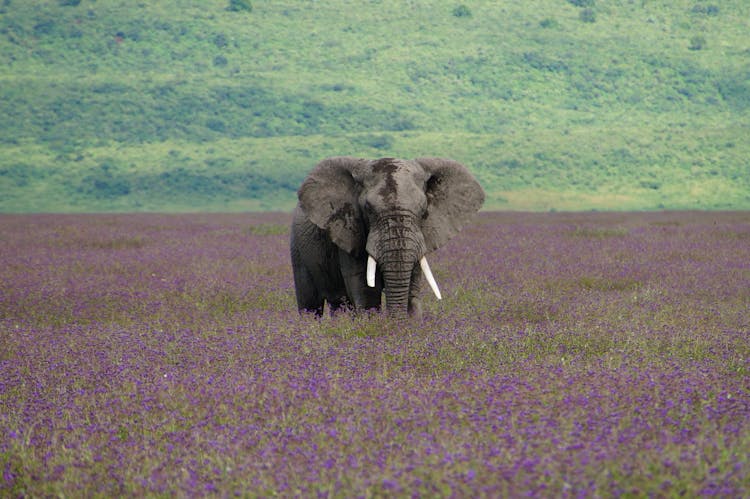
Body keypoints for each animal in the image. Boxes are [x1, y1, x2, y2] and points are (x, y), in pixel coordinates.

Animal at [290, 157, 484, 320]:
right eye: (368, 209)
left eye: (423, 210)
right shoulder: (350, 233)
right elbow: (366, 291)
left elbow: (412, 288)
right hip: (297, 250)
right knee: (310, 305)